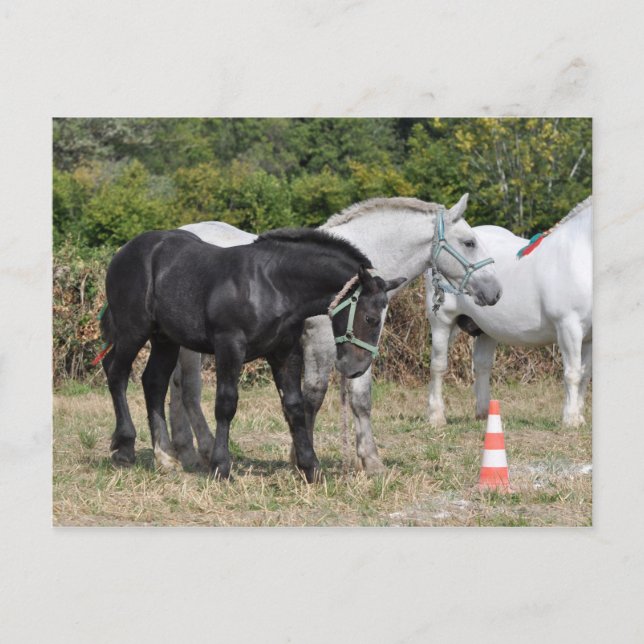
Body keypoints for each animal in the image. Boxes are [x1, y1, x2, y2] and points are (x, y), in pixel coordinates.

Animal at [100, 227, 406, 482]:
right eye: (370, 318)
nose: (356, 367)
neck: (272, 285)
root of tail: (122, 253)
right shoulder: (229, 345)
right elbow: (226, 404)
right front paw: (221, 467)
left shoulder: (285, 352)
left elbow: (295, 406)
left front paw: (311, 469)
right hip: (133, 330)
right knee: (116, 373)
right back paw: (124, 448)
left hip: (165, 339)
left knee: (153, 383)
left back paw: (165, 457)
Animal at [169, 195, 503, 473]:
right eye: (470, 242)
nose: (495, 291)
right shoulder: (320, 344)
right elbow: (311, 398)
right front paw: (299, 458)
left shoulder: (361, 347)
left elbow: (360, 399)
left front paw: (371, 461)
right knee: (187, 391)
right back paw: (190, 453)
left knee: (176, 389)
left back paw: (182, 453)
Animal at [426, 196, 592, 428]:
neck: (580, 257)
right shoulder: (569, 327)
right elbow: (573, 374)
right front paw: (570, 420)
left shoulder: (589, 337)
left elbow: (585, 375)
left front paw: (579, 417)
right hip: (442, 321)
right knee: (438, 366)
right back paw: (436, 417)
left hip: (485, 329)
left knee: (482, 366)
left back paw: (484, 413)